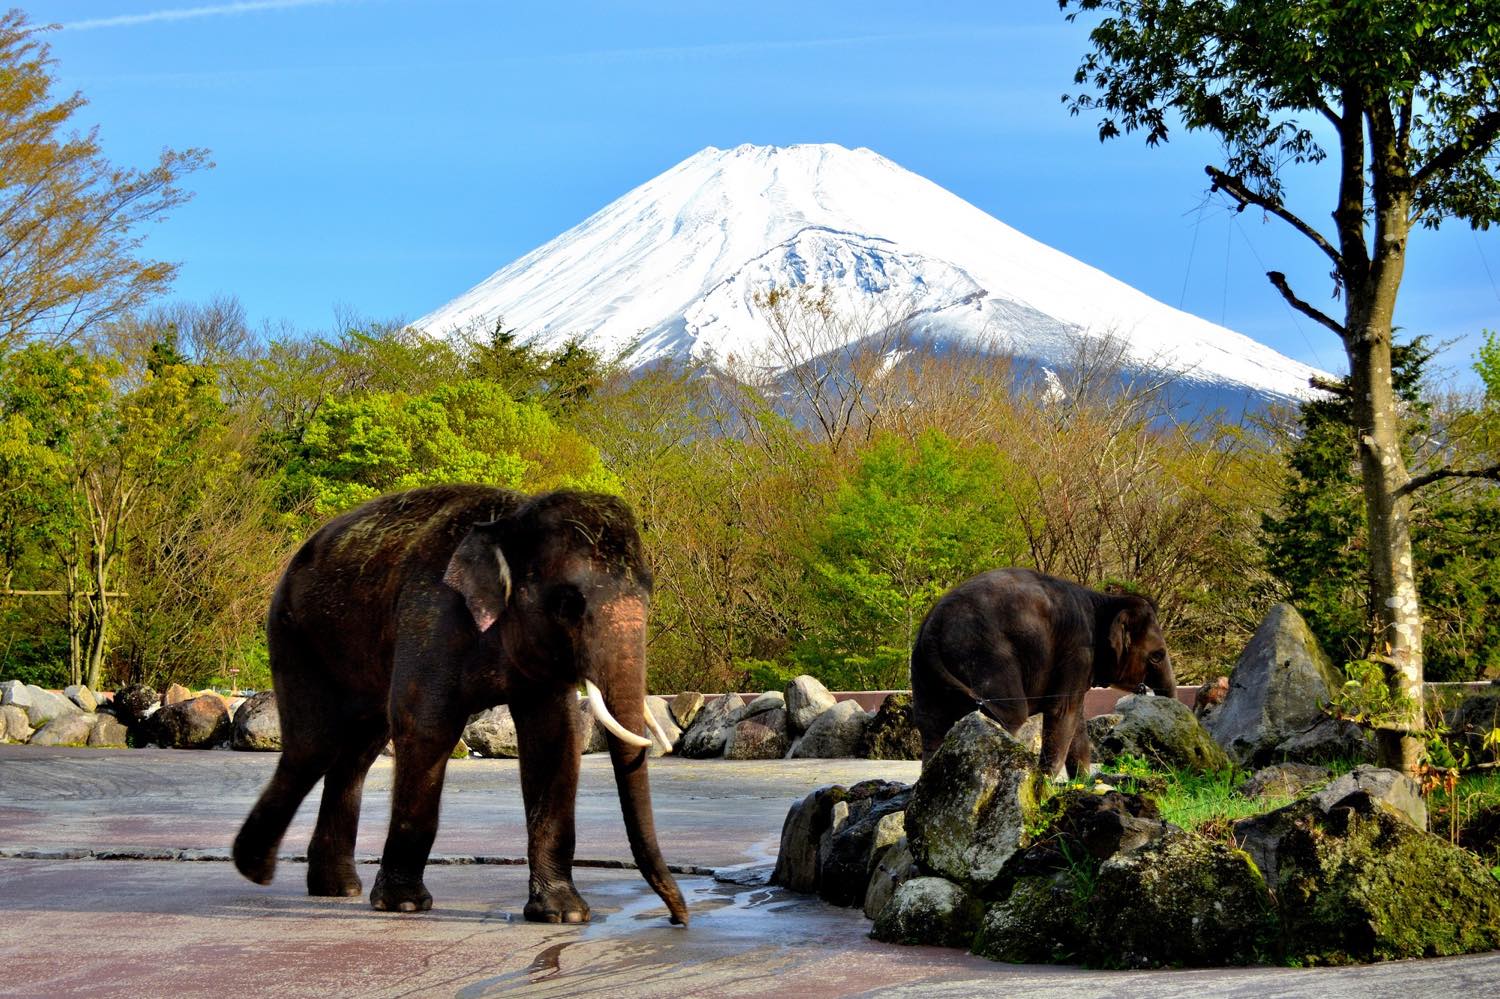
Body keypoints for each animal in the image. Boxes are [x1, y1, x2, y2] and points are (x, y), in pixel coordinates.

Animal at [231, 480, 687, 924]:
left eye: (649, 593)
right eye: (566, 603)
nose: (677, 918)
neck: (510, 520)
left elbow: (554, 740)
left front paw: (564, 914)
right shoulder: (431, 615)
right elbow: (426, 726)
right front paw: (404, 906)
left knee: (356, 754)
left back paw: (336, 888)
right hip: (293, 632)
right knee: (315, 747)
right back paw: (255, 869)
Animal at [906, 567, 1176, 780]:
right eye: (1157, 655)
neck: (1104, 601)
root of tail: (933, 628)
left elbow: (1077, 718)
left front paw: (1082, 783)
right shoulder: (1078, 651)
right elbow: (1062, 711)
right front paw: (1043, 784)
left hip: (924, 672)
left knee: (932, 726)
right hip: (986, 656)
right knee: (1009, 715)